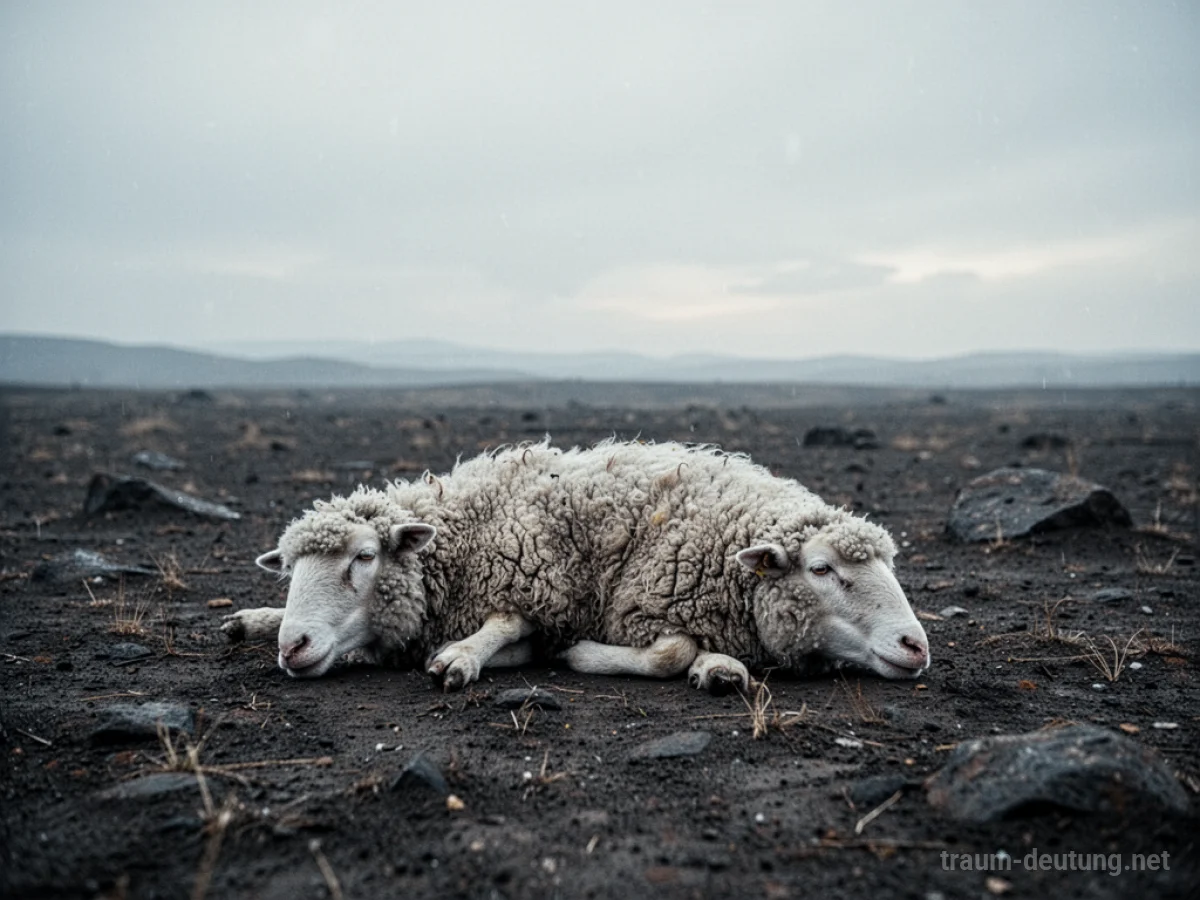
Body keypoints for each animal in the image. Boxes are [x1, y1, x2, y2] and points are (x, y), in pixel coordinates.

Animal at [222, 440, 930, 693]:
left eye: (365, 558)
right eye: (822, 569)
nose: (915, 646)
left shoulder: (553, 582)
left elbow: (669, 652)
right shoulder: (543, 580)